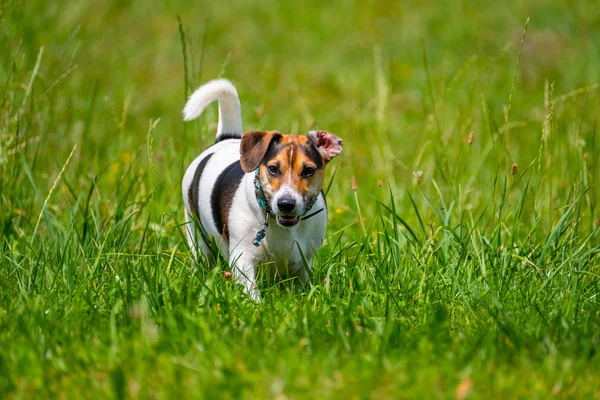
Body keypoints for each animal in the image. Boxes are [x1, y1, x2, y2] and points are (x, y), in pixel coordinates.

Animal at [180, 79, 342, 300]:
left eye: (308, 170)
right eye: (273, 168)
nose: (286, 204)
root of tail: (225, 138)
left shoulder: (303, 260)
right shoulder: (242, 259)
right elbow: (250, 290)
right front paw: (255, 304)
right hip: (196, 232)